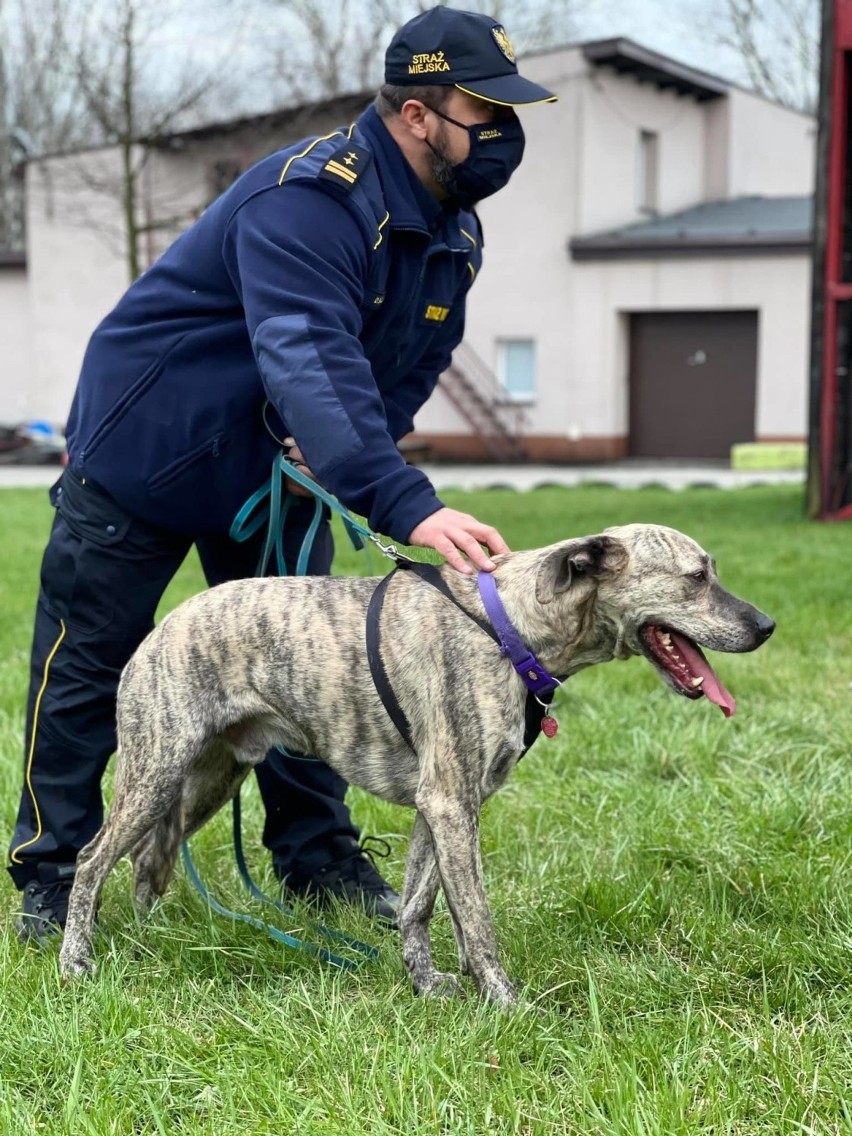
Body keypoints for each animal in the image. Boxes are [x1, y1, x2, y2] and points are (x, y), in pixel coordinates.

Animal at [58, 522, 781, 1004]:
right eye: (697, 578)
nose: (768, 626)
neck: (509, 627)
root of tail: (161, 626)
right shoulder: (451, 805)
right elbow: (477, 921)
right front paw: (505, 1004)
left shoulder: (445, 808)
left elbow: (419, 905)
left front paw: (427, 983)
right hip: (156, 771)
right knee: (92, 861)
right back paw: (75, 960)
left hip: (209, 777)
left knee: (149, 862)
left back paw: (149, 942)